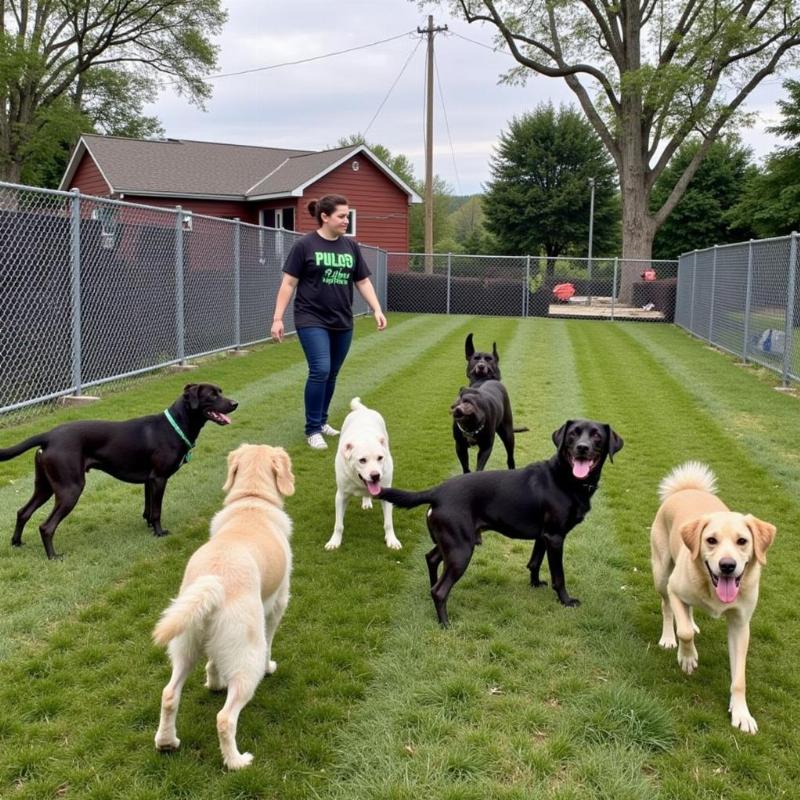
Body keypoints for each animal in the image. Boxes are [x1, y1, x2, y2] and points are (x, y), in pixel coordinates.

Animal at [153, 444, 294, 768]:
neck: (252, 501)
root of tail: (214, 582)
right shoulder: (277, 603)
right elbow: (271, 641)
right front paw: (270, 667)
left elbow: (214, 661)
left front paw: (214, 682)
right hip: (247, 655)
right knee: (225, 718)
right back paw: (237, 761)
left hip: (185, 643)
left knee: (169, 695)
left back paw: (166, 742)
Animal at [324, 398, 400, 552]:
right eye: (362, 460)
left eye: (380, 458)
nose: (376, 475)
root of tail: (363, 410)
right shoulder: (341, 495)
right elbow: (338, 524)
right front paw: (335, 541)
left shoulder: (386, 493)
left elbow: (388, 523)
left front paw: (391, 540)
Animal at [378, 422, 620, 628]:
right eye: (572, 434)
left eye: (597, 435)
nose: (582, 448)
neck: (564, 478)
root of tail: (437, 491)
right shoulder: (555, 537)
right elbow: (558, 576)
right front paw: (566, 601)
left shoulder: (543, 536)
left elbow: (534, 562)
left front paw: (535, 584)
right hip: (460, 550)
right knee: (439, 591)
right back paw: (445, 623)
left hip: (451, 542)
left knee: (431, 559)